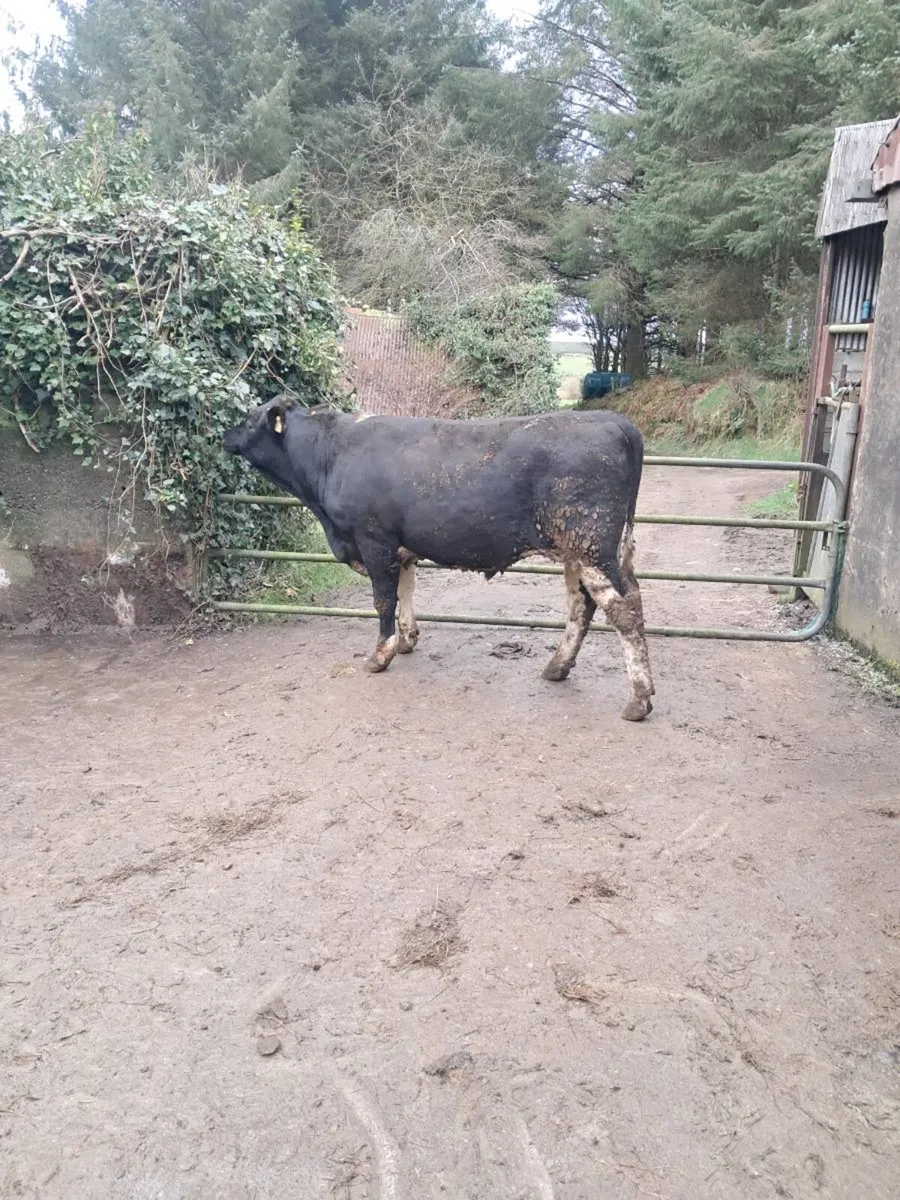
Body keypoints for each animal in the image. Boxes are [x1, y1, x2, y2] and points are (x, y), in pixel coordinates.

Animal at [222, 397, 655, 721]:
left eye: (247, 419)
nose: (224, 436)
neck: (330, 458)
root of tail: (614, 421)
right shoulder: (400, 546)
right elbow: (406, 590)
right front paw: (407, 639)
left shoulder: (373, 539)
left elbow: (383, 599)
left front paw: (380, 654)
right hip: (583, 550)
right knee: (583, 605)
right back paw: (557, 668)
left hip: (590, 544)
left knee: (624, 609)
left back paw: (638, 699)